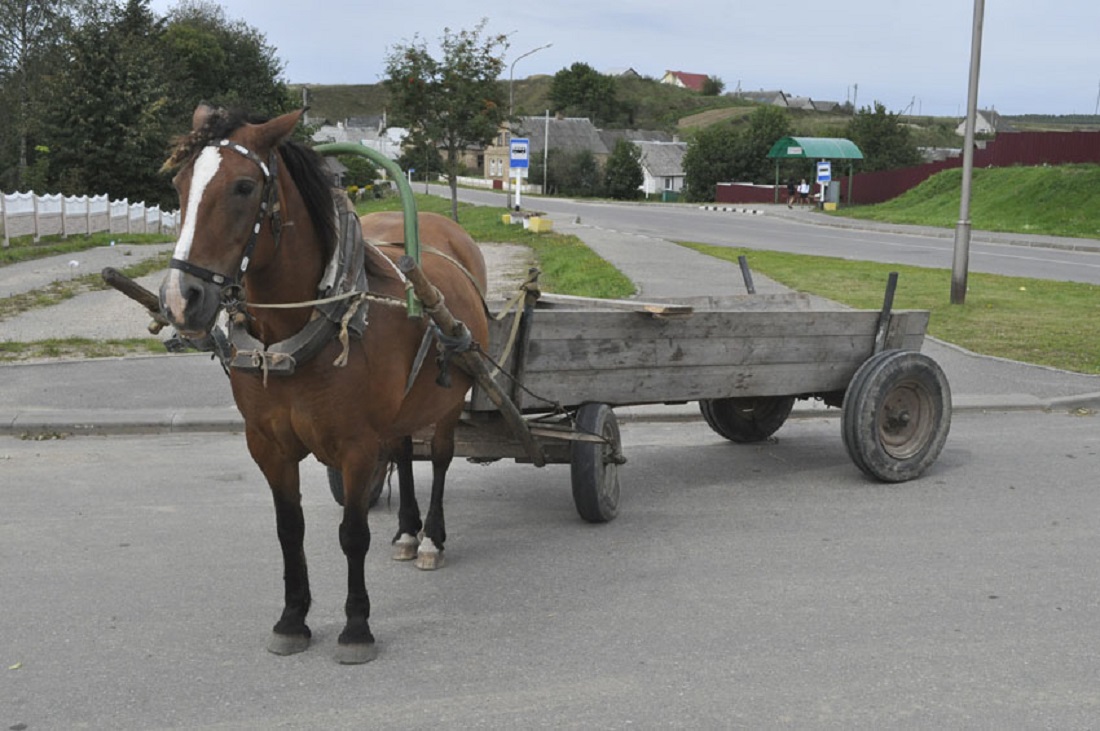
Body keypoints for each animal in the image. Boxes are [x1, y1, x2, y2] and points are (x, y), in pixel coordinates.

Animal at [160, 105, 488, 663]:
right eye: (180, 184)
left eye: (244, 186)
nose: (182, 299)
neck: (298, 330)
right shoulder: (268, 445)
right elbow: (289, 530)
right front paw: (293, 618)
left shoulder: (355, 446)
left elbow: (352, 533)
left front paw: (357, 626)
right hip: (401, 410)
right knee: (404, 453)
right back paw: (406, 531)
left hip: (449, 398)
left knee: (441, 458)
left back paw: (430, 538)